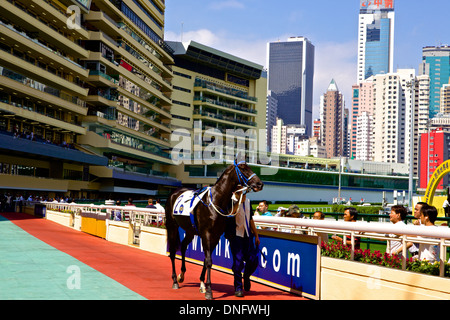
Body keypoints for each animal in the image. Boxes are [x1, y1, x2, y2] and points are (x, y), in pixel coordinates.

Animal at [165, 160, 264, 300]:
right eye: (243, 169)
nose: (260, 184)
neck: (216, 201)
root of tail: (174, 192)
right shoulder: (206, 233)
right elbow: (208, 261)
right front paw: (209, 291)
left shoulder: (216, 235)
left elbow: (206, 259)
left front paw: (202, 284)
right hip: (172, 225)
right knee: (173, 252)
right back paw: (175, 280)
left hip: (190, 230)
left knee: (183, 246)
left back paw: (181, 275)